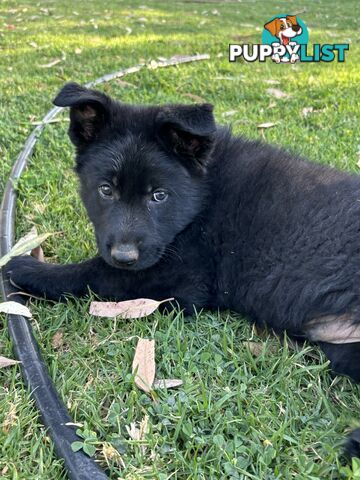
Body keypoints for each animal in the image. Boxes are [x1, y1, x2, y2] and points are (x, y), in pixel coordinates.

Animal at [4, 83, 358, 458]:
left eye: (159, 195)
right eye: (106, 190)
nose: (124, 255)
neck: (204, 197)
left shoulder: (179, 280)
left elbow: (93, 272)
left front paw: (29, 268)